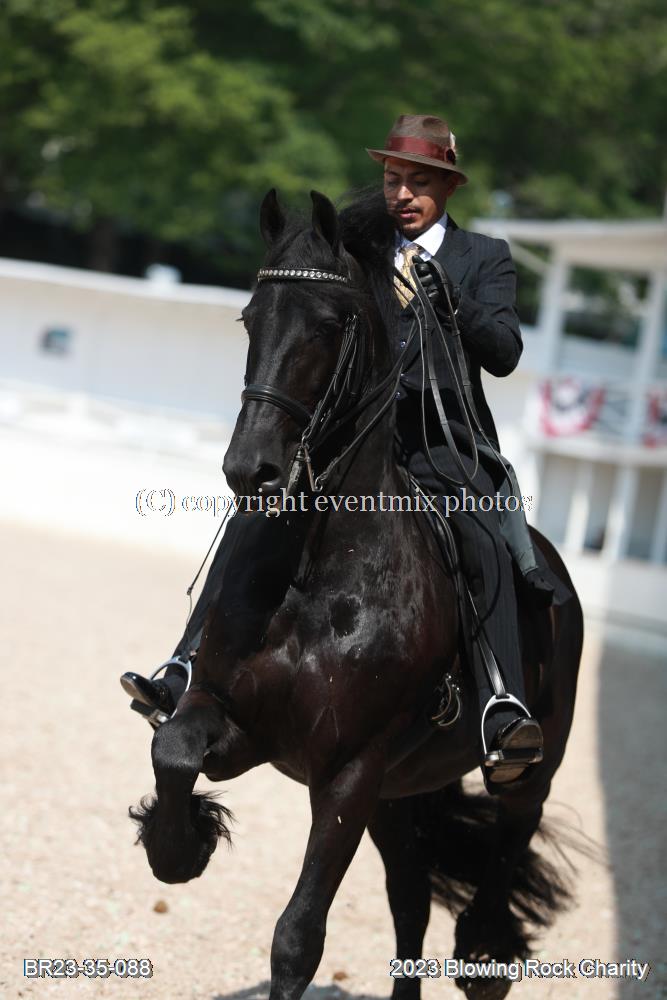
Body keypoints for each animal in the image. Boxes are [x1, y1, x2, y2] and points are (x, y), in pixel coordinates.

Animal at [130, 188, 583, 1000]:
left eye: (328, 323)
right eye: (250, 317)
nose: (251, 470)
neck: (318, 568)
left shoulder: (351, 770)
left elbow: (298, 937)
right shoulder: (236, 722)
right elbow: (174, 746)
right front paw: (179, 848)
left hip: (524, 772)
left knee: (501, 863)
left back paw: (485, 951)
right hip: (401, 797)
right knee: (410, 900)